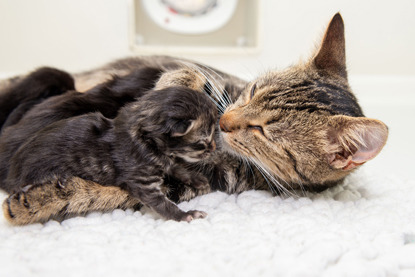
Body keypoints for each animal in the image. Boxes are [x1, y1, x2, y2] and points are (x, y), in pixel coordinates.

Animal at [5, 87, 218, 221]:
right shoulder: (142, 182)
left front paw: (196, 178)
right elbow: (162, 203)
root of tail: (13, 171)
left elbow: (176, 167)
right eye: (202, 144)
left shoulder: (164, 161)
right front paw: (185, 215)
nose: (214, 148)